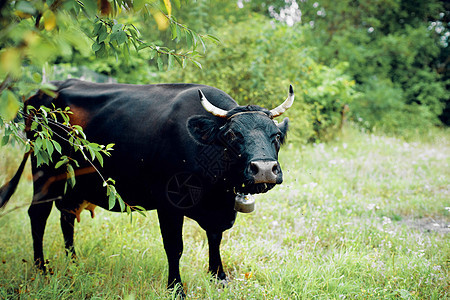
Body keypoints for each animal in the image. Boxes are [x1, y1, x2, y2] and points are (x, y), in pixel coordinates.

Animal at [0, 79, 294, 296]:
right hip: (44, 172)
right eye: (233, 135)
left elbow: (215, 237)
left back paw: (73, 263)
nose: (264, 169)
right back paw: (42, 268)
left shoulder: (219, 208)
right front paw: (176, 289)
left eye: (276, 136)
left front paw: (218, 277)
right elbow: (174, 247)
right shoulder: (168, 204)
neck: (215, 193)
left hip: (72, 184)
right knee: (38, 216)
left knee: (67, 217)